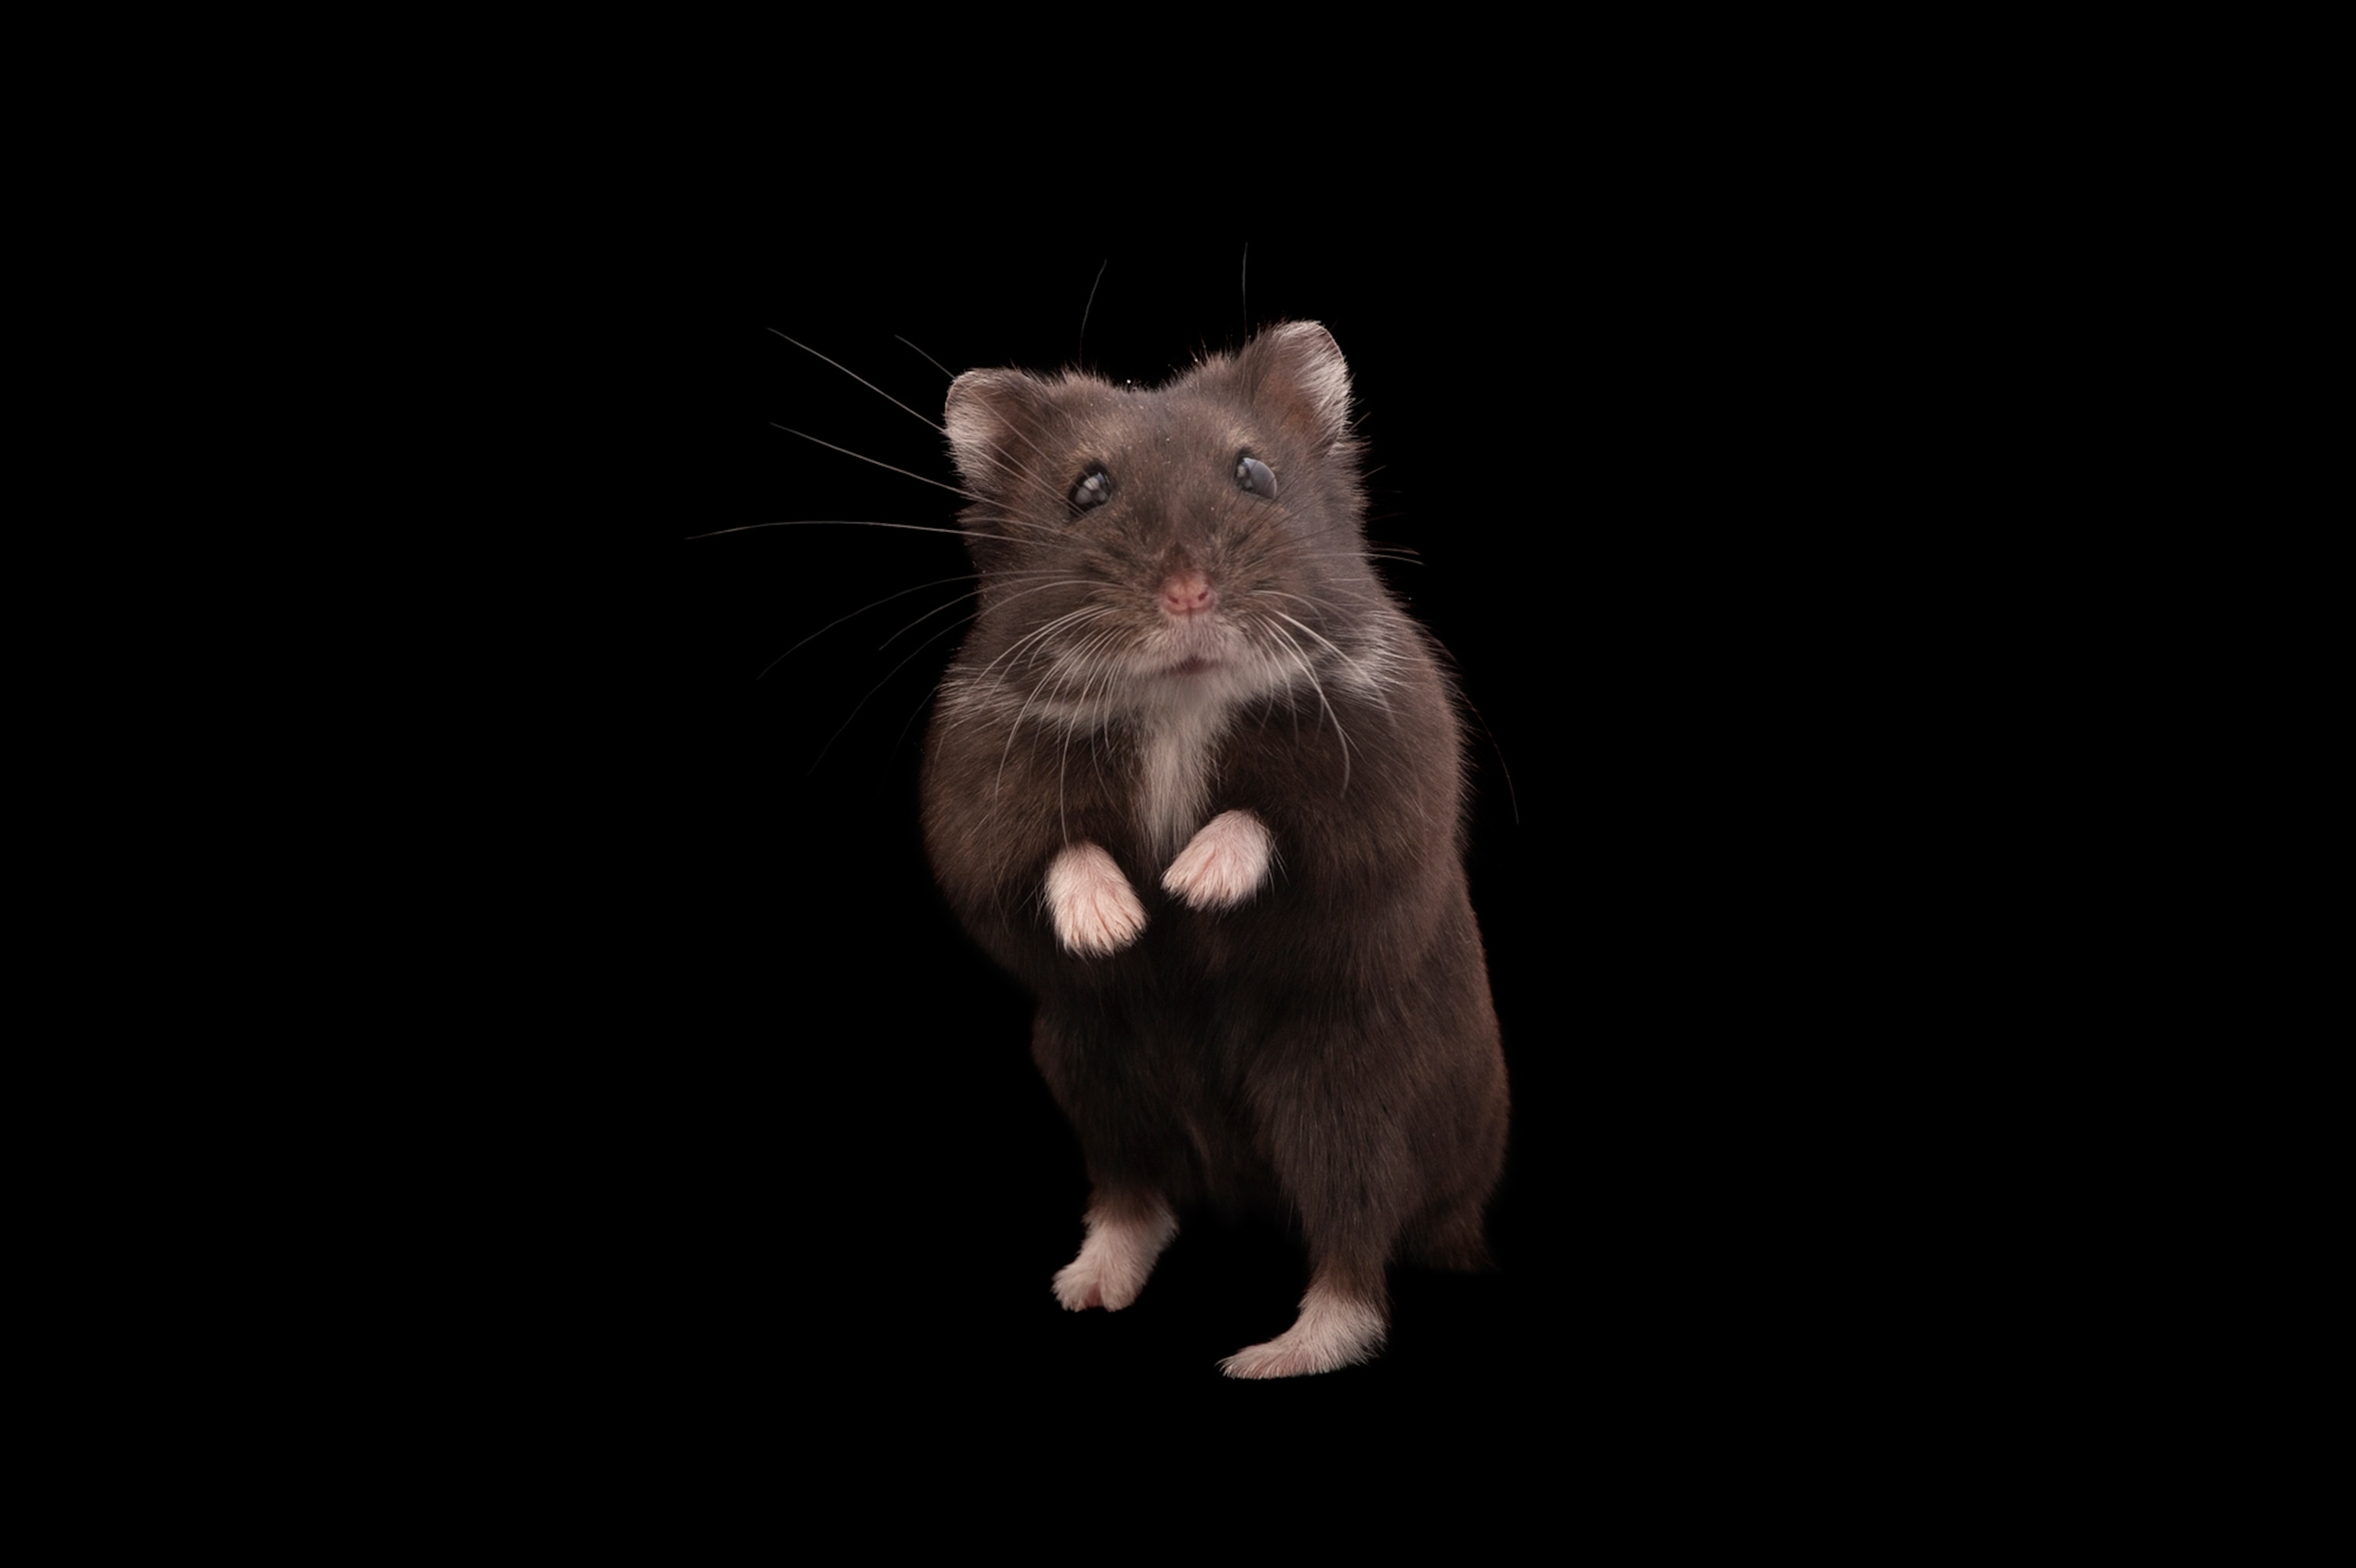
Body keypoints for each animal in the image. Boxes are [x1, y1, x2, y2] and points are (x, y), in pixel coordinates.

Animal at [921, 321, 1508, 1378]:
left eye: (1255, 473)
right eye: (1088, 489)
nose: (1189, 594)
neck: (1180, 693)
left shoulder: (1394, 759)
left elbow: (1272, 823)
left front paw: (1187, 883)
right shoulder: (974, 785)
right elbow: (1046, 855)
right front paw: (1119, 923)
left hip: (1350, 1090)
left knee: (1355, 1239)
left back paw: (1273, 1354)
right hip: (1089, 1067)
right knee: (1130, 1189)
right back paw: (1088, 1287)